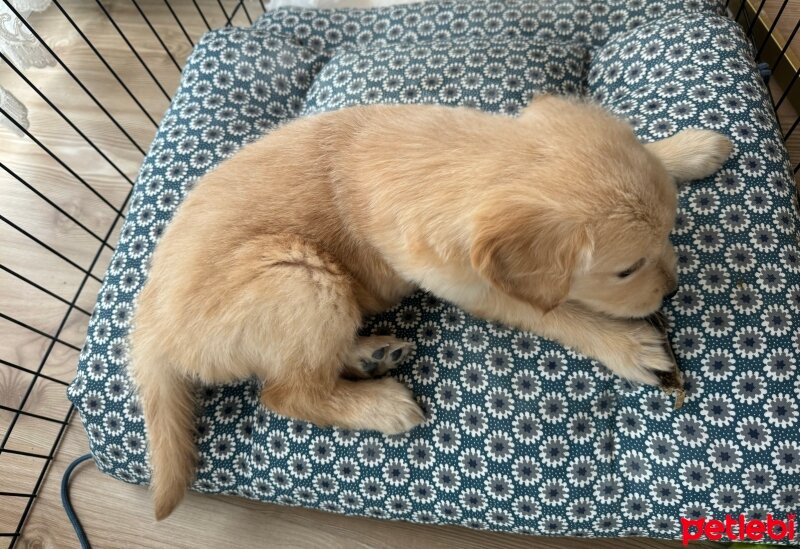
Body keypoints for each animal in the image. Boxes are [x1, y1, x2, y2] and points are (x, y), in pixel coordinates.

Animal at [130, 94, 732, 520]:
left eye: (671, 230)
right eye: (627, 270)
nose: (672, 289)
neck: (453, 163)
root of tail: (148, 333)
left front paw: (683, 148)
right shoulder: (476, 288)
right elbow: (559, 312)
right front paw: (626, 344)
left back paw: (371, 354)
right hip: (302, 278)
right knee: (288, 392)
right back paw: (379, 404)